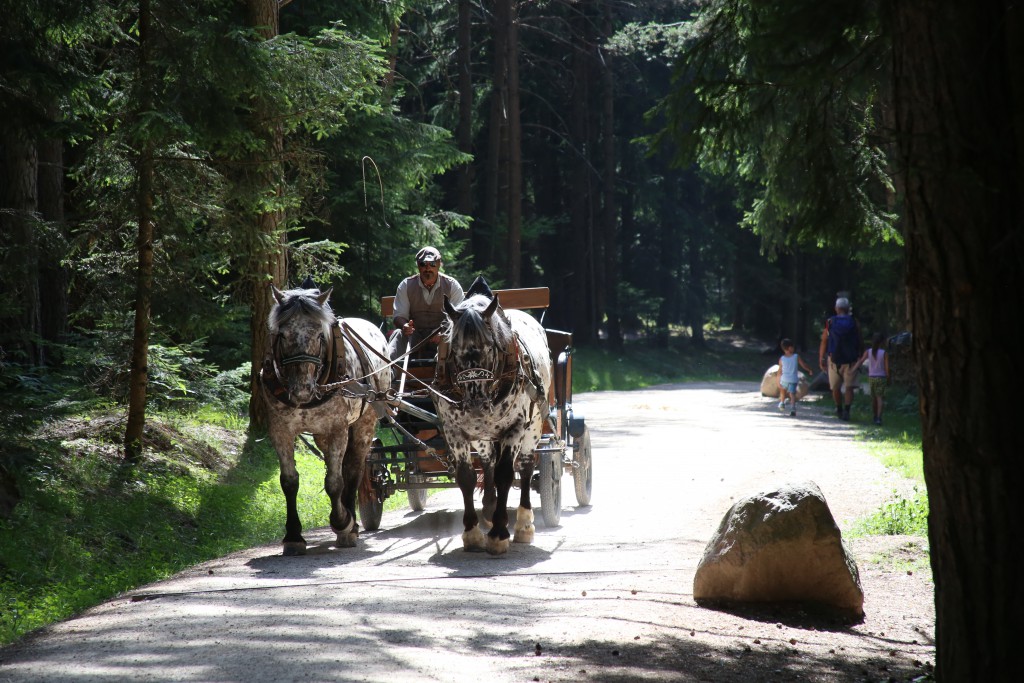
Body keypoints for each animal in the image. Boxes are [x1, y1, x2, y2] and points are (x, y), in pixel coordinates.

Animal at [262, 278, 389, 557]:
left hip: (365, 423)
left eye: (320, 335)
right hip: (321, 434)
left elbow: (335, 481)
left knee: (353, 469)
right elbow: (289, 482)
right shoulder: (280, 430)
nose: (302, 390)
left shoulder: (337, 429)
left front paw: (343, 523)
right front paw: (293, 536)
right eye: (282, 335)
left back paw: (351, 523)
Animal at [436, 278, 557, 557]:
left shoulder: (515, 428)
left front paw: (499, 534)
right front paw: (472, 533)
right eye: (452, 348)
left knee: (525, 467)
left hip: (533, 427)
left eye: (490, 347)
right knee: (489, 462)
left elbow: (505, 475)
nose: (476, 404)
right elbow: (467, 477)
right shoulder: (454, 431)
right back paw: (490, 508)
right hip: (483, 435)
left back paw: (523, 525)